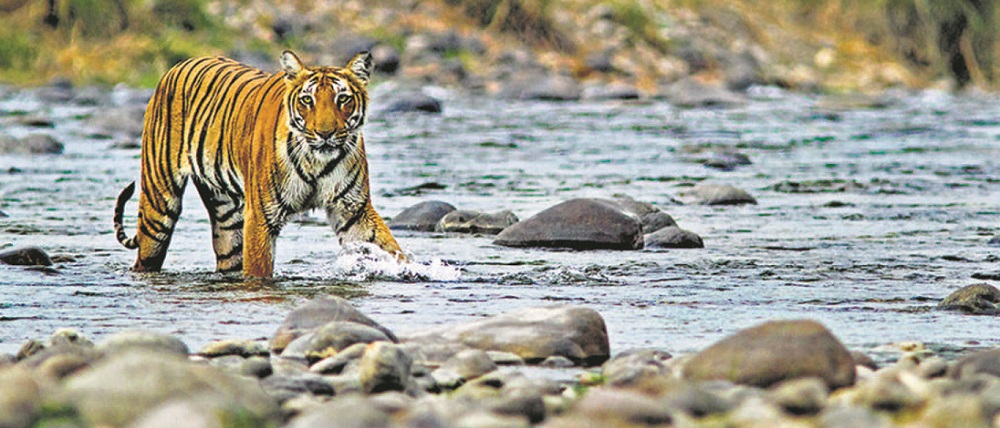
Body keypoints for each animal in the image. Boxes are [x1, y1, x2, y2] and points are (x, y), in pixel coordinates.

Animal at [112, 50, 404, 278]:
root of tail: (177, 66)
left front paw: (409, 270)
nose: (325, 133)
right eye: (307, 100)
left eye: (342, 99)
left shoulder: (353, 209)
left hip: (227, 218)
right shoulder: (261, 216)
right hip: (158, 205)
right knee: (146, 255)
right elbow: (258, 270)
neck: (316, 161)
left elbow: (389, 247)